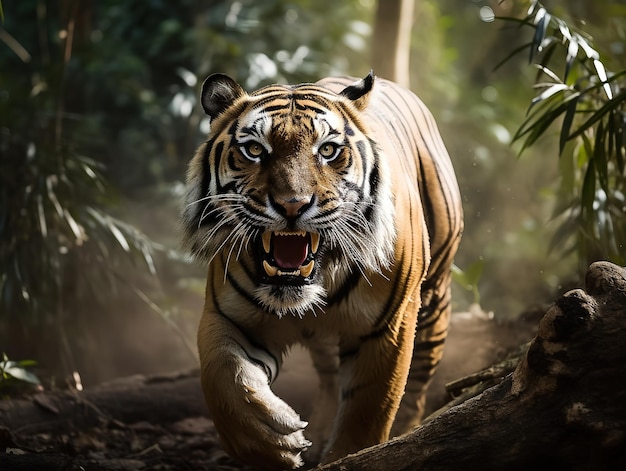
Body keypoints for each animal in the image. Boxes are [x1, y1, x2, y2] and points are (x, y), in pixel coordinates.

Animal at [178, 71, 460, 471]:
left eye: (327, 151)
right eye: (255, 150)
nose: (292, 205)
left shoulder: (388, 326)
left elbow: (368, 409)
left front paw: (352, 455)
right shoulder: (227, 315)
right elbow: (224, 377)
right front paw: (270, 439)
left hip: (434, 296)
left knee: (419, 376)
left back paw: (408, 430)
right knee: (328, 377)